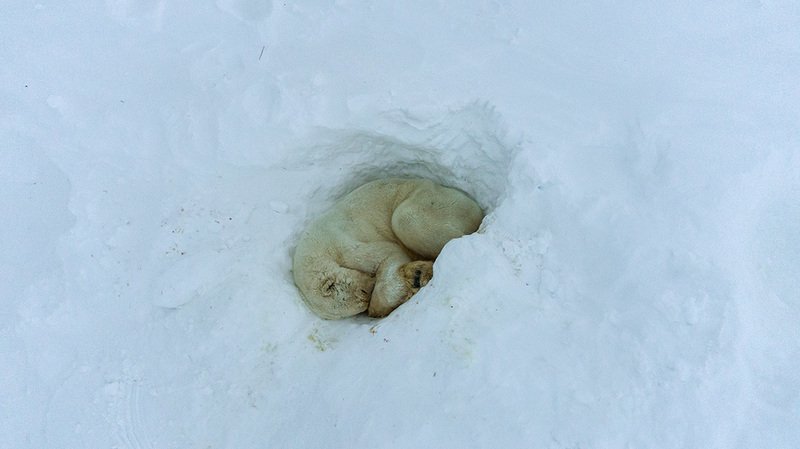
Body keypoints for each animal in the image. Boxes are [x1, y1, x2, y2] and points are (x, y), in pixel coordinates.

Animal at [292, 178, 484, 319]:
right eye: (360, 304)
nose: (368, 289)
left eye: (333, 285)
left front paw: (379, 307)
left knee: (406, 219)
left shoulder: (340, 243)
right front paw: (414, 277)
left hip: (436, 200)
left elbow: (387, 253)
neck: (314, 252)